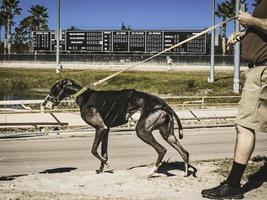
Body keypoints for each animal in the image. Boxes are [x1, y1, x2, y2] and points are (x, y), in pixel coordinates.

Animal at [43, 79, 189, 177]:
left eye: (53, 90)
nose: (44, 103)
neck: (83, 96)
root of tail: (164, 105)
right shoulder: (106, 130)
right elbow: (104, 152)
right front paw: (101, 169)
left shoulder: (100, 128)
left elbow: (93, 150)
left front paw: (105, 164)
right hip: (168, 135)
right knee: (184, 152)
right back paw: (186, 173)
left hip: (142, 131)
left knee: (162, 150)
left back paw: (152, 171)